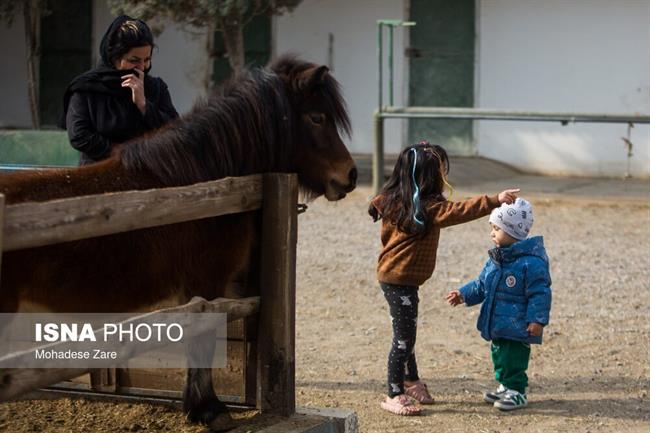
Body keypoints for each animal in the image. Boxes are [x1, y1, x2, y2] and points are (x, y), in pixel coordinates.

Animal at [0, 55, 354, 424]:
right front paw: (208, 409)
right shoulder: (205, 284)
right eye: (317, 117)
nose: (350, 175)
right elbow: (201, 340)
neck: (203, 187)